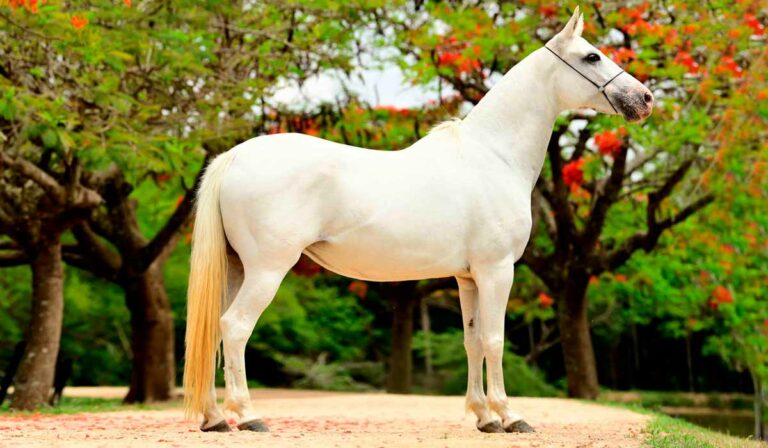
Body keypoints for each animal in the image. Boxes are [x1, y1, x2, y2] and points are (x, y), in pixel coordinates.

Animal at [183, 7, 653, 434]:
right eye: (591, 56)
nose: (645, 99)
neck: (491, 155)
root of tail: (234, 155)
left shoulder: (468, 278)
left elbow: (472, 341)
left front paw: (484, 418)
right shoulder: (497, 271)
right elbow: (495, 340)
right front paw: (511, 416)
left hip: (235, 269)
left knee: (212, 330)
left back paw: (214, 419)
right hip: (267, 269)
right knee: (235, 327)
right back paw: (248, 416)